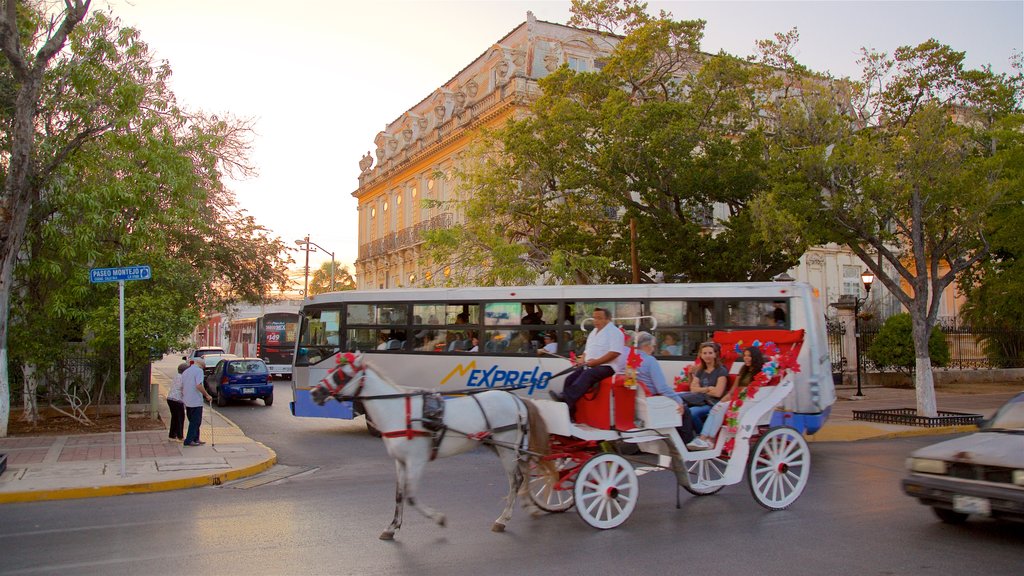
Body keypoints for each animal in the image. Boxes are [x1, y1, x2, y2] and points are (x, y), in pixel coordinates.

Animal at [309, 350, 557, 537]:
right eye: (333, 371)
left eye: (341, 375)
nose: (314, 393)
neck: (401, 412)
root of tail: (516, 399)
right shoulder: (400, 462)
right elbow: (399, 494)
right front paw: (392, 527)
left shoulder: (416, 461)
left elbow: (411, 497)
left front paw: (438, 518)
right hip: (505, 448)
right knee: (524, 474)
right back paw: (530, 507)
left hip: (507, 450)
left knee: (515, 480)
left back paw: (503, 518)